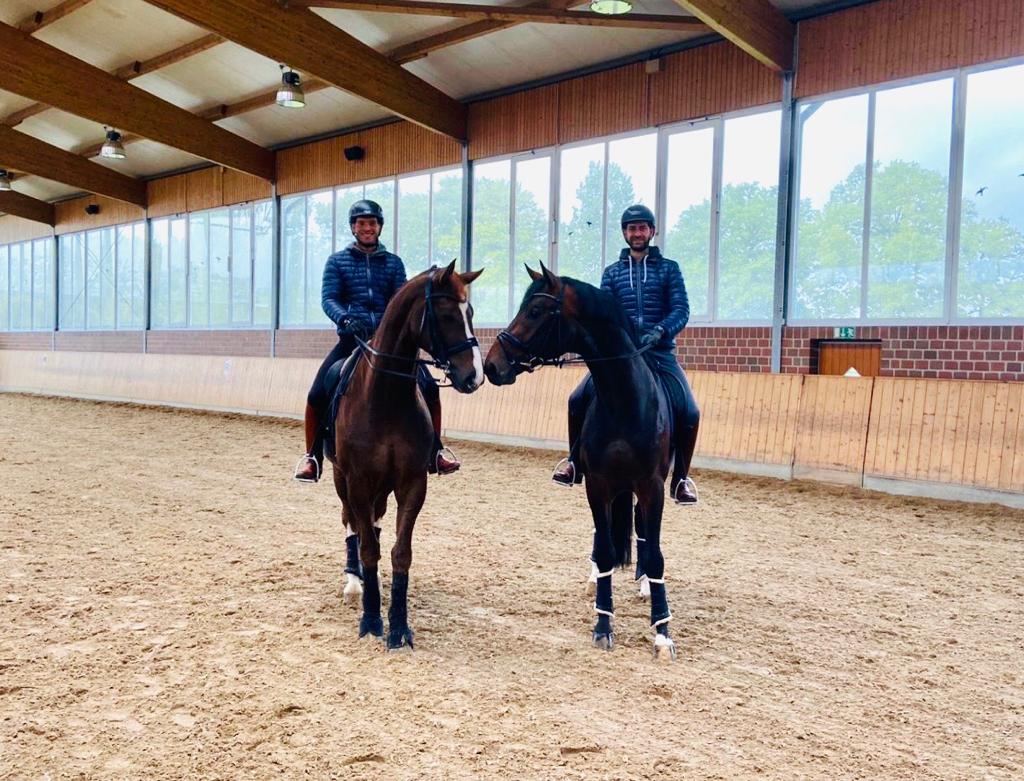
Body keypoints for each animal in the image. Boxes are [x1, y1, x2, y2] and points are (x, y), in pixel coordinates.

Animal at [331, 262, 483, 655]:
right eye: (446, 315)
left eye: (470, 314)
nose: (475, 376)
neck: (385, 397)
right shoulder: (357, 482)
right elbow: (369, 548)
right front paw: (371, 621)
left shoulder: (412, 483)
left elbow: (400, 552)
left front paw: (399, 627)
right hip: (341, 480)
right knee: (353, 525)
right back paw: (355, 583)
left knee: (373, 522)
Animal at [481, 268, 675, 659]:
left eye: (536, 311)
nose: (492, 365)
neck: (624, 401)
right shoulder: (597, 485)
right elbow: (605, 551)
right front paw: (603, 624)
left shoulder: (653, 487)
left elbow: (656, 554)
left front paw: (662, 633)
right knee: (604, 537)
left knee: (643, 535)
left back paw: (645, 583)